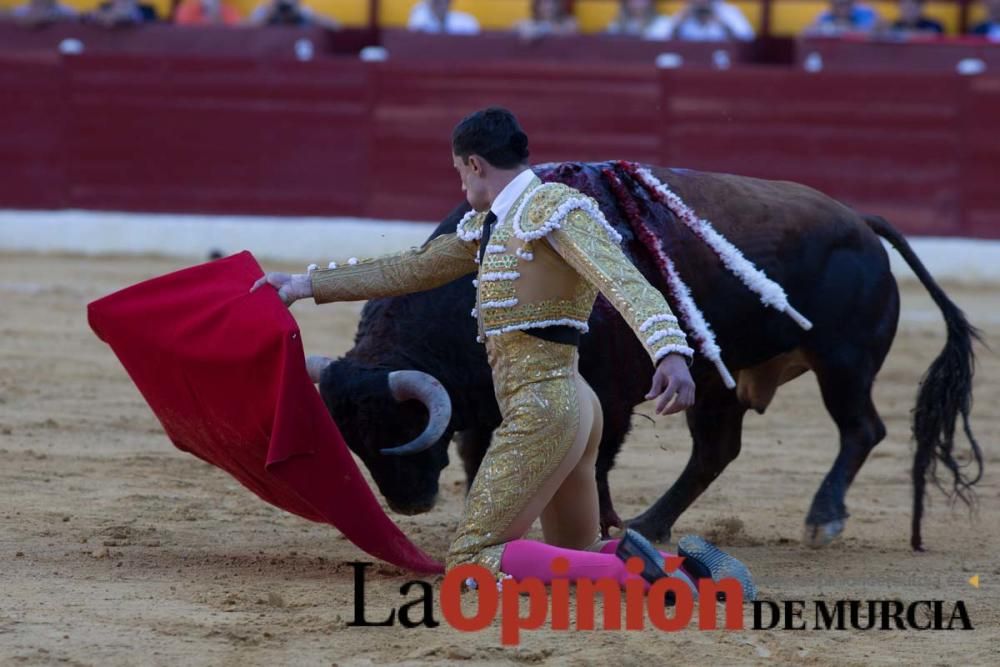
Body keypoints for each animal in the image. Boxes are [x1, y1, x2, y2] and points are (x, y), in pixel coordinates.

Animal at [316, 159, 980, 552]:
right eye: (354, 441)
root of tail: (862, 223)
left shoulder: (608, 395)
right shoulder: (489, 404)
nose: (409, 502)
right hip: (720, 381)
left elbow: (594, 462)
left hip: (842, 362)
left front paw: (594, 525)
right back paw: (651, 525)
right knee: (716, 450)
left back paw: (824, 518)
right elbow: (484, 456)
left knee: (861, 429)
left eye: (401, 429)